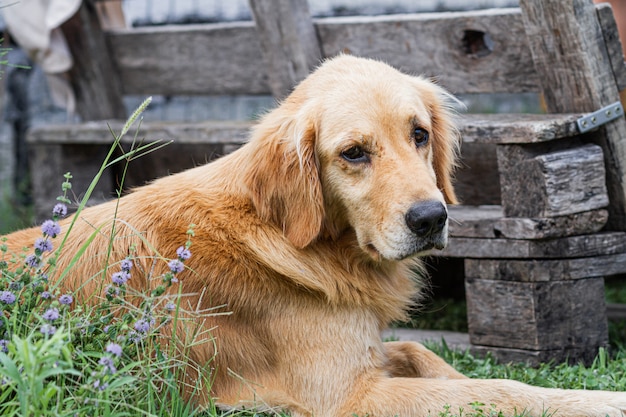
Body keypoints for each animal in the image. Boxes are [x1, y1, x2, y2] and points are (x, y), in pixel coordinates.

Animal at [4, 55, 624, 416]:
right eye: (353, 153)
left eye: (420, 134)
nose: (431, 218)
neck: (296, 240)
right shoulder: (349, 397)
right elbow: (503, 391)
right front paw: (601, 400)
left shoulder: (368, 357)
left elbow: (434, 359)